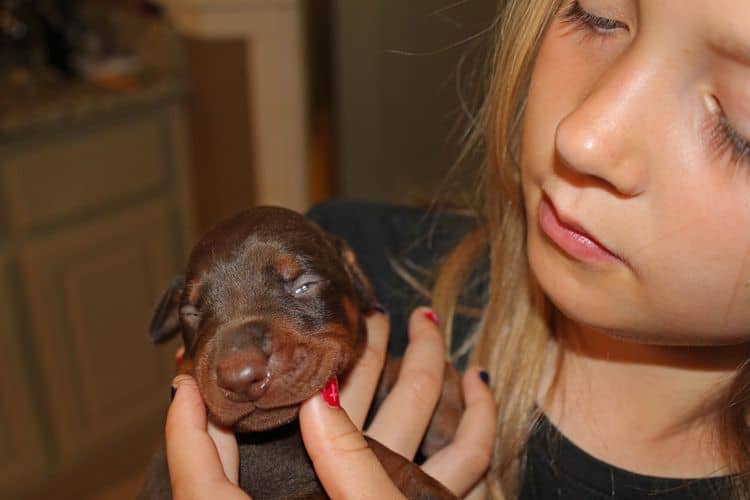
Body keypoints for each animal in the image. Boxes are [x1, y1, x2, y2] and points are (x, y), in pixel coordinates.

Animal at [138, 207, 462, 500]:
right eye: (190, 312)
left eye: (304, 285)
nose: (239, 377)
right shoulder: (267, 460)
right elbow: (377, 452)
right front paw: (426, 489)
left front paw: (447, 408)